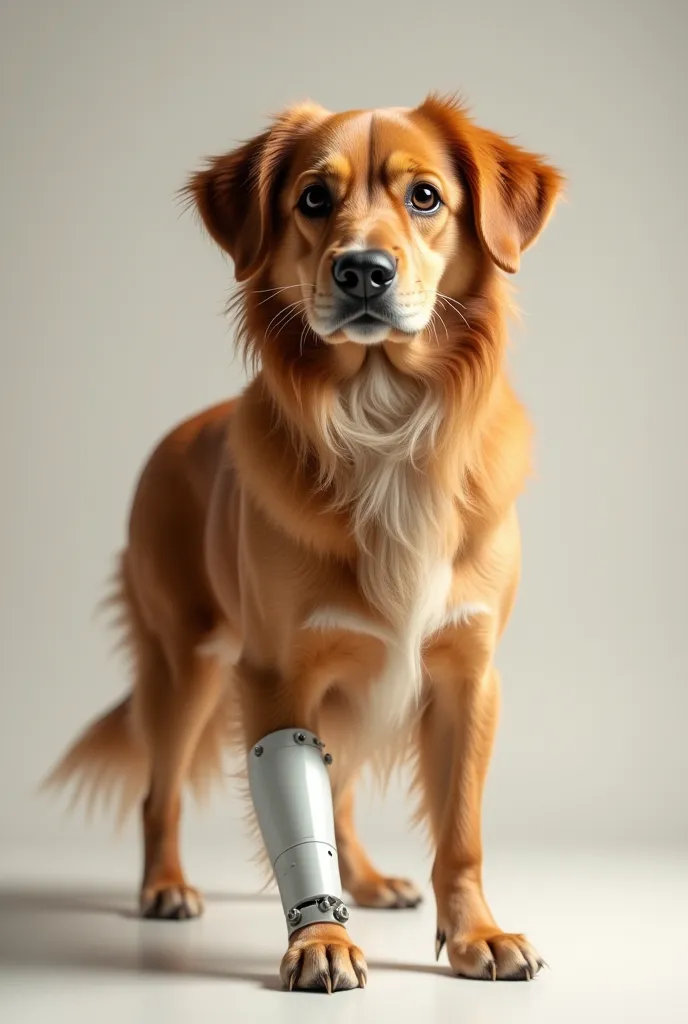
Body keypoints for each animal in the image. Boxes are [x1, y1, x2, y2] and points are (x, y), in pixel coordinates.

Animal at [49, 94, 565, 991]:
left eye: (425, 197)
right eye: (313, 200)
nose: (363, 271)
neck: (383, 418)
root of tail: (176, 435)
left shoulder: (468, 672)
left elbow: (460, 829)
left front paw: (477, 934)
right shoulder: (277, 673)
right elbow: (296, 820)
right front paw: (319, 941)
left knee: (344, 787)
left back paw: (370, 879)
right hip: (184, 665)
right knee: (160, 791)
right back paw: (166, 888)